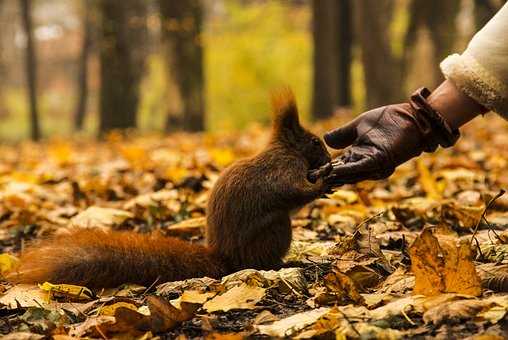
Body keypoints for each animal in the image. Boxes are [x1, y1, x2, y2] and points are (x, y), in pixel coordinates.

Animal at [11, 89, 332, 288]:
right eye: (315, 142)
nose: (329, 158)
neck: (287, 150)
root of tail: (227, 258)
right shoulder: (284, 168)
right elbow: (293, 190)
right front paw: (320, 184)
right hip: (276, 230)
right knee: (265, 257)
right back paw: (281, 263)